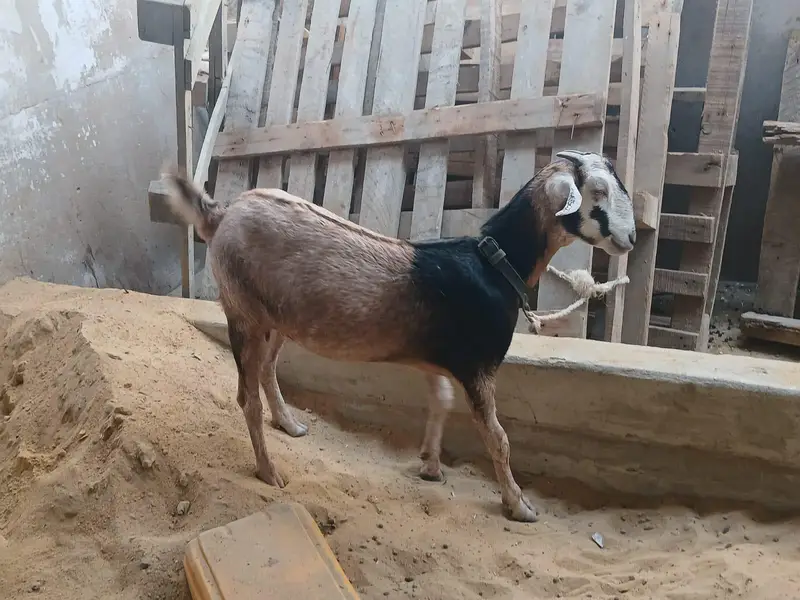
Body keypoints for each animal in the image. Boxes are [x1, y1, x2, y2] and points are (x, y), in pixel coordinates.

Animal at [163, 150, 636, 523]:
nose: (630, 237)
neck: (495, 263)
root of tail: (221, 215)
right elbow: (498, 438)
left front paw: (430, 464)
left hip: (277, 318)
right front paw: (519, 506)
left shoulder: (437, 360)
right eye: (598, 192)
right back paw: (269, 472)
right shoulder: (478, 366)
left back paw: (290, 424)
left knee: (267, 369)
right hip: (243, 310)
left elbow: (441, 401)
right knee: (247, 396)